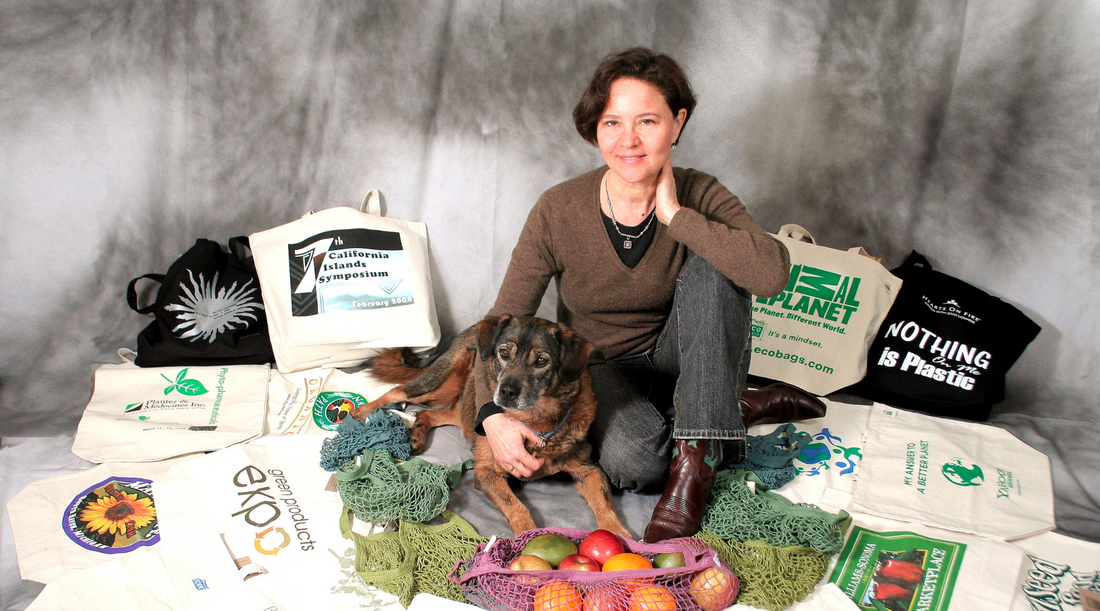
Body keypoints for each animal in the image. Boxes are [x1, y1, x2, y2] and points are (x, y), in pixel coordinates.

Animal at [347, 312, 633, 537]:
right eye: (504, 353)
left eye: (542, 361)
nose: (506, 392)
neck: (533, 423)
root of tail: (476, 326)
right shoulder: (486, 472)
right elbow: (517, 507)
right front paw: (527, 538)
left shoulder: (589, 470)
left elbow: (605, 505)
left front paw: (620, 536)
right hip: (436, 383)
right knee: (398, 391)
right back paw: (361, 411)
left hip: (462, 406)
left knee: (431, 415)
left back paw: (416, 435)